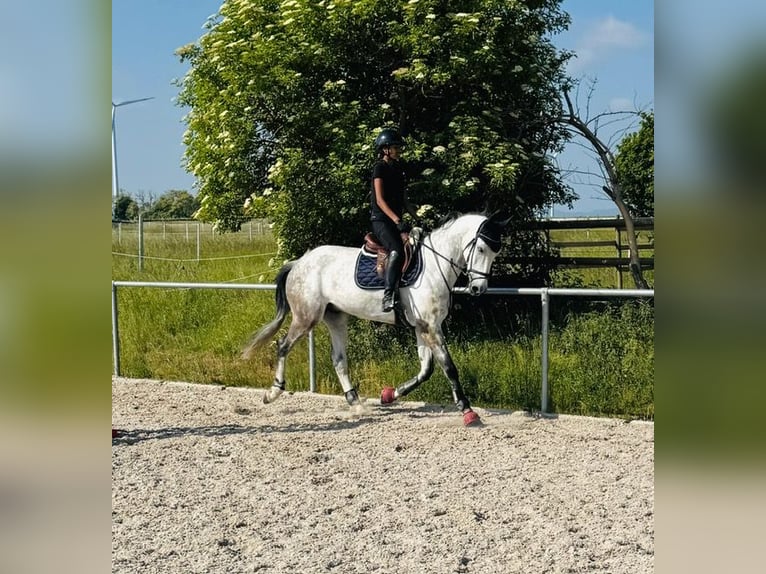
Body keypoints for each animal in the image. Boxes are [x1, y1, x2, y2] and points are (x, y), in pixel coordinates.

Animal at [241, 212, 509, 426]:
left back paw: (356, 402)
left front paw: (389, 395)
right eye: (481, 249)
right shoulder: (430, 327)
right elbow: (448, 367)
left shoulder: (422, 327)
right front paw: (467, 410)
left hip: (336, 318)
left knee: (338, 360)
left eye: (496, 252)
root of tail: (299, 263)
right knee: (283, 346)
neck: (435, 266)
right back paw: (272, 393)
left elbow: (426, 370)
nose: (478, 289)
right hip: (306, 317)